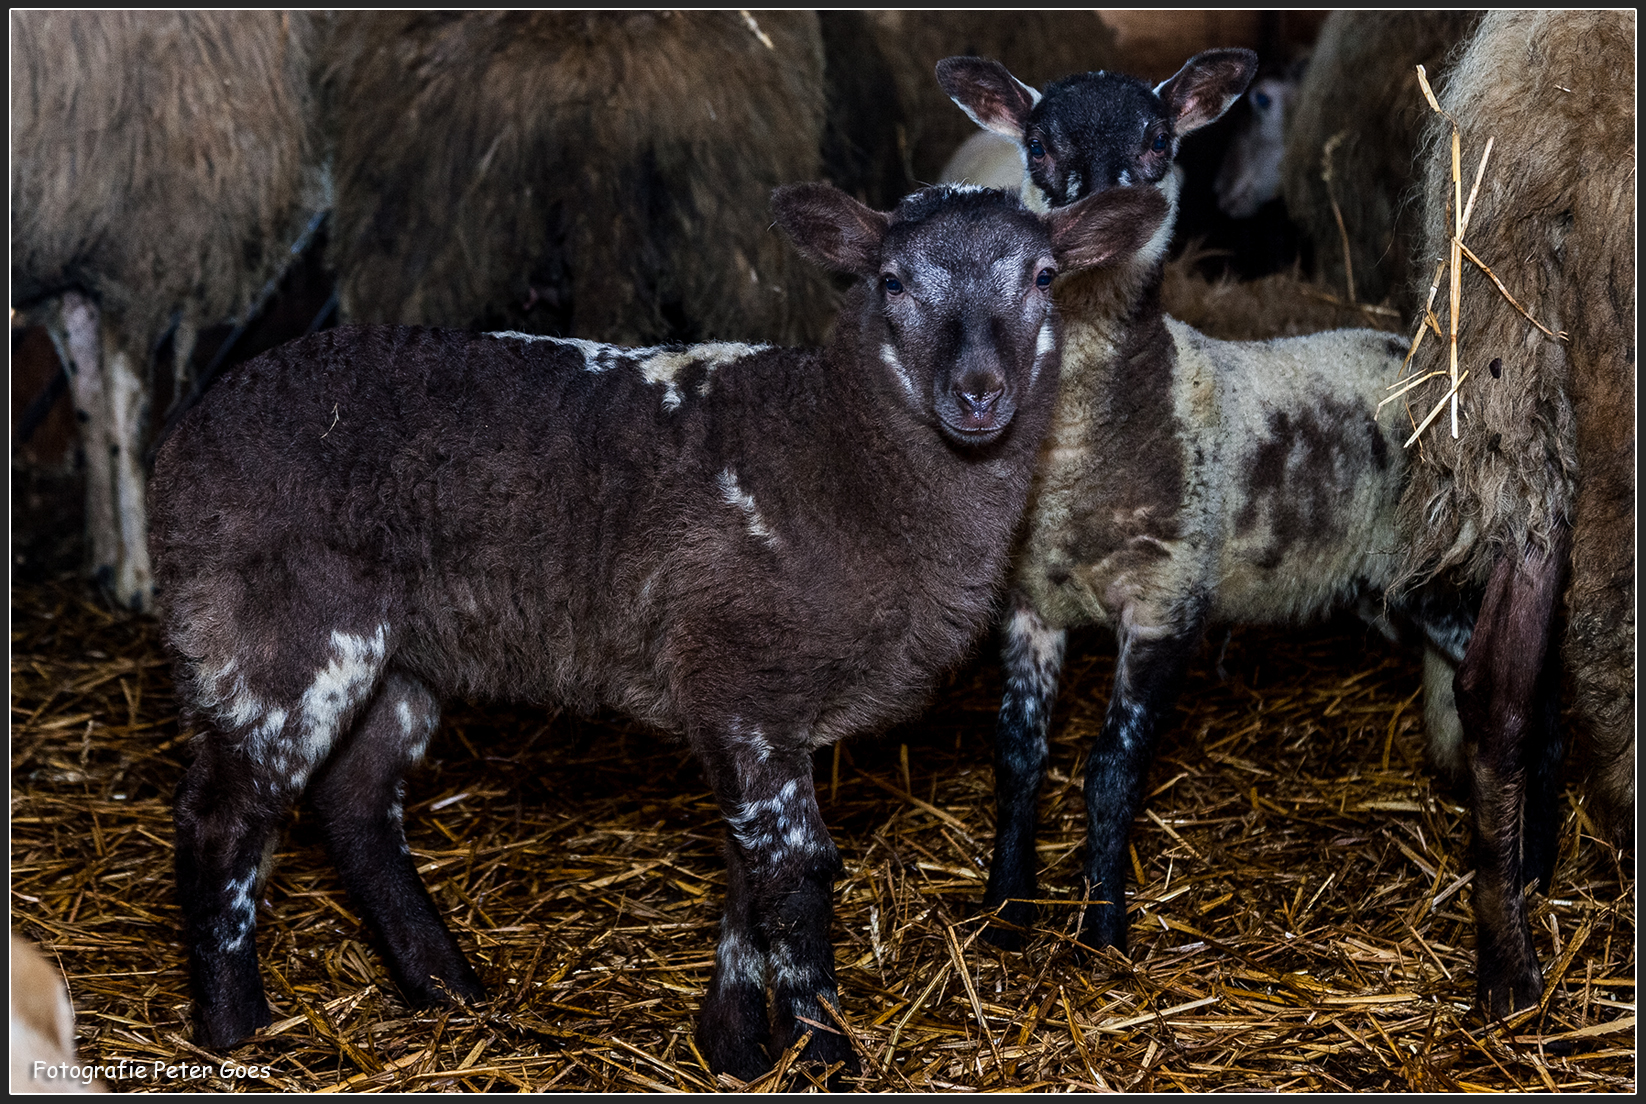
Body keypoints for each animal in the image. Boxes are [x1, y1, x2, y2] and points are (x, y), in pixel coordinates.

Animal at [9, 10, 324, 612]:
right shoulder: (140, 243)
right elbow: (125, 416)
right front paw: (138, 577)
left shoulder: (80, 244)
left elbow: (89, 403)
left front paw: (104, 557)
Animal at [147, 180, 1171, 1076]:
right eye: (891, 281)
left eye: (1043, 276)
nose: (978, 391)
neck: (836, 457)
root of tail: (180, 447)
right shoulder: (744, 677)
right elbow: (794, 872)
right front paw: (823, 1054)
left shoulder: (752, 709)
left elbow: (748, 875)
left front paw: (735, 1048)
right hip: (280, 632)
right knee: (223, 819)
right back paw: (238, 1032)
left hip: (399, 656)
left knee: (355, 807)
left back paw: (450, 993)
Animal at [937, 53, 1474, 957]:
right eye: (1039, 144)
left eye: (1159, 140)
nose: (1104, 209)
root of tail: (1416, 346)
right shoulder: (1028, 606)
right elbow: (1017, 755)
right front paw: (1008, 911)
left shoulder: (1167, 600)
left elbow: (1111, 770)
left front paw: (1103, 929)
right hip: (1386, 584)